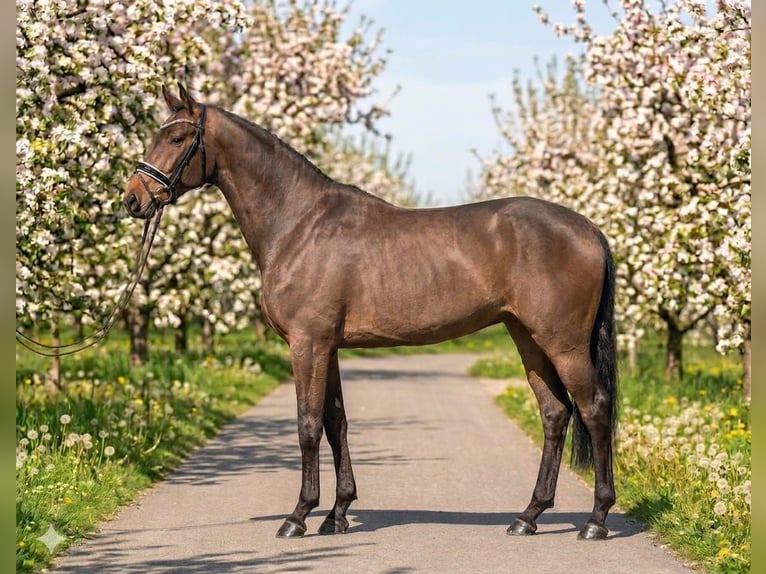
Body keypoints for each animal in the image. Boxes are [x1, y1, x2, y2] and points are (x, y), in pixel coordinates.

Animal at [123, 84, 618, 541]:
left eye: (178, 137)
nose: (132, 199)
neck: (299, 224)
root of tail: (588, 228)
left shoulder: (307, 344)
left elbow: (307, 425)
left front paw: (298, 516)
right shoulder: (328, 347)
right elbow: (335, 423)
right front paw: (337, 514)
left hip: (564, 345)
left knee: (594, 408)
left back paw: (595, 520)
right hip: (527, 339)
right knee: (555, 413)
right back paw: (528, 516)